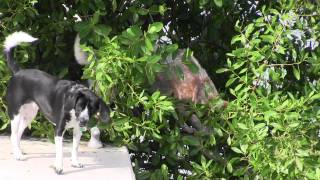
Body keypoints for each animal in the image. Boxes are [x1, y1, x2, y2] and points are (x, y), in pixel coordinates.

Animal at [2, 31, 111, 174]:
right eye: (80, 106)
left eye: (92, 109)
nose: (83, 121)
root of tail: (18, 72)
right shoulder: (59, 131)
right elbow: (60, 152)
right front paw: (59, 167)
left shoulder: (78, 130)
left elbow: (75, 148)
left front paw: (75, 163)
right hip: (15, 114)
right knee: (13, 135)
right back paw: (18, 155)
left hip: (30, 114)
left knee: (19, 133)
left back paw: (19, 152)